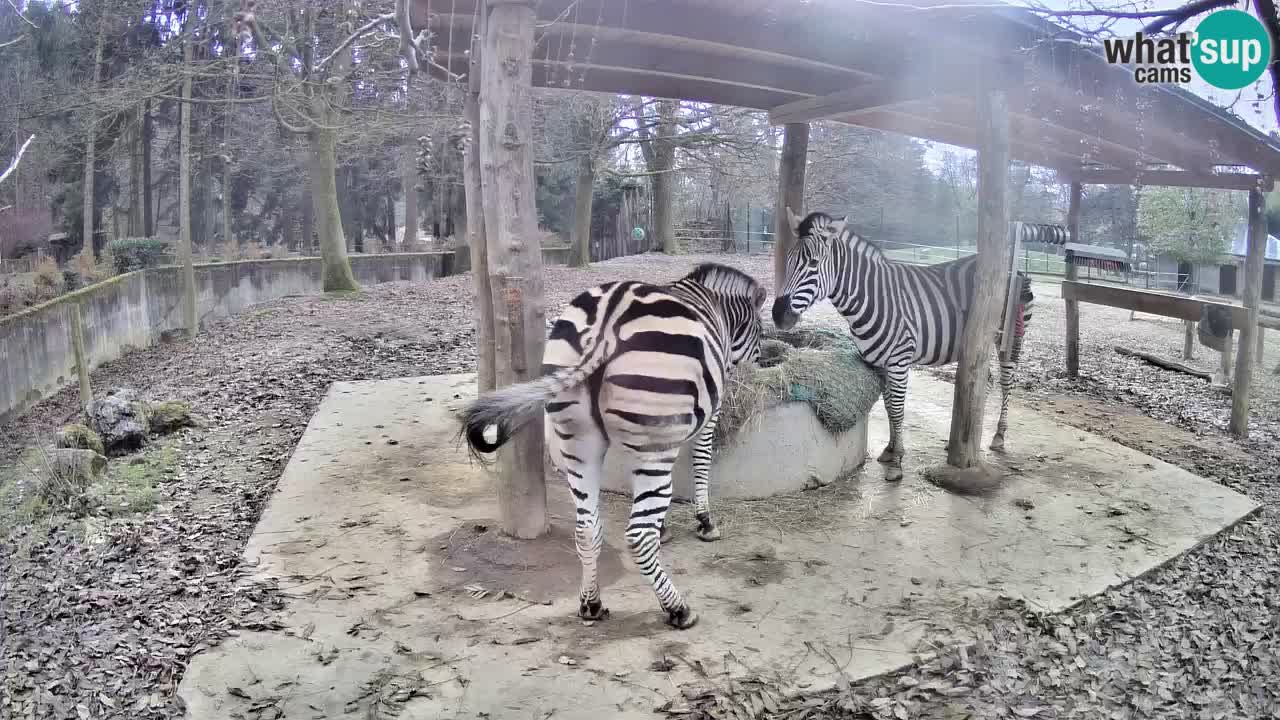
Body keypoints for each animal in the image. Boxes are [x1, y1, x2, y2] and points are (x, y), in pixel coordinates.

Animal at [458, 260, 762, 625]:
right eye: (760, 332)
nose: (761, 361)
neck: (711, 303)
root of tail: (606, 321)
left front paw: (666, 528)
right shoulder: (708, 416)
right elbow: (701, 462)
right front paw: (705, 522)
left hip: (579, 441)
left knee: (587, 528)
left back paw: (591, 604)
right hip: (650, 443)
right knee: (638, 535)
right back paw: (678, 609)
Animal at [768, 207, 1039, 481]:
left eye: (813, 263)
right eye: (788, 260)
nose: (778, 315)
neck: (872, 298)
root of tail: (1012, 270)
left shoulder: (899, 360)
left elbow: (898, 408)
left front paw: (897, 462)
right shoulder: (879, 362)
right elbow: (889, 407)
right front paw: (890, 449)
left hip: (1008, 337)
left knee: (1006, 381)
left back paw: (999, 435)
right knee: (985, 381)